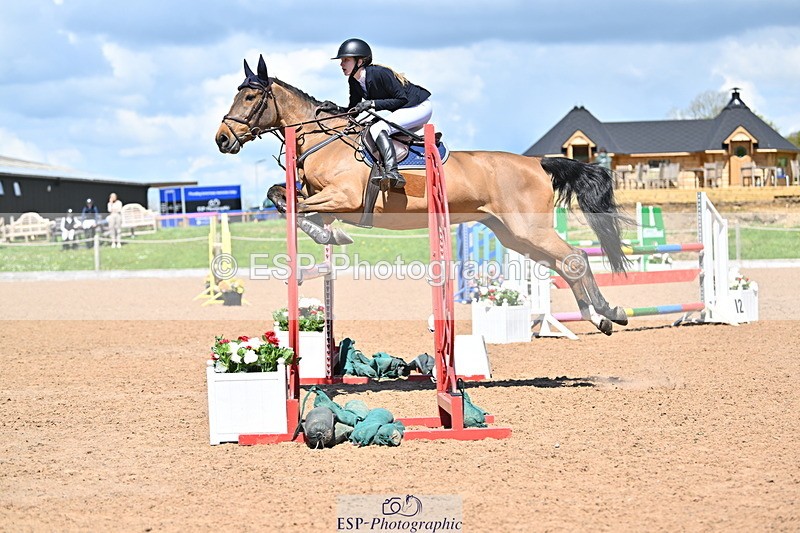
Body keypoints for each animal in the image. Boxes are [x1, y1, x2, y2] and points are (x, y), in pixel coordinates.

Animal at [215, 55, 631, 335]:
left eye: (250, 97)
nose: (222, 139)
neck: (324, 140)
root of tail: (537, 163)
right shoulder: (322, 197)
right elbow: (280, 196)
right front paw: (325, 233)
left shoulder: (344, 198)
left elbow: (294, 205)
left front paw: (331, 234)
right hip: (512, 234)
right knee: (564, 264)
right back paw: (597, 316)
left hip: (529, 229)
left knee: (575, 258)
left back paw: (610, 313)